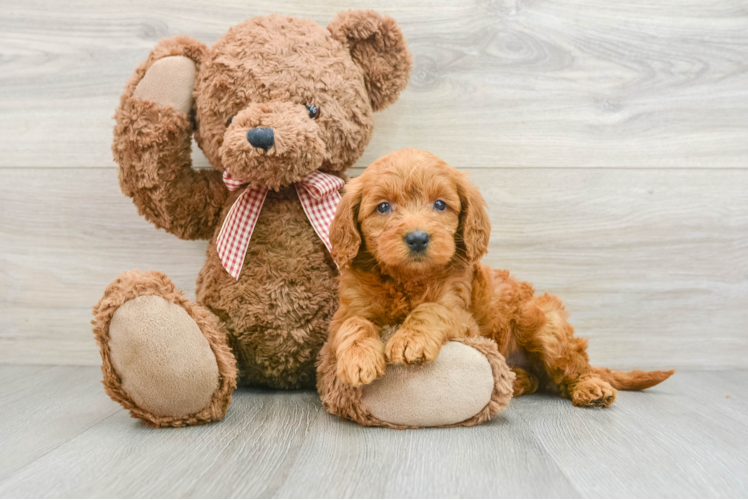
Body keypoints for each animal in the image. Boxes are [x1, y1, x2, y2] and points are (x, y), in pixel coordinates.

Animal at [328, 147, 672, 406]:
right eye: (383, 207)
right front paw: (358, 359)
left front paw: (410, 339)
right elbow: (354, 324)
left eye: (440, 204)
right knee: (539, 380)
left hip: (543, 323)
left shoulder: (464, 318)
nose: (417, 238)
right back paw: (515, 380)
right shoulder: (347, 310)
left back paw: (590, 387)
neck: (407, 279)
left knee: (571, 368)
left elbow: (431, 309)